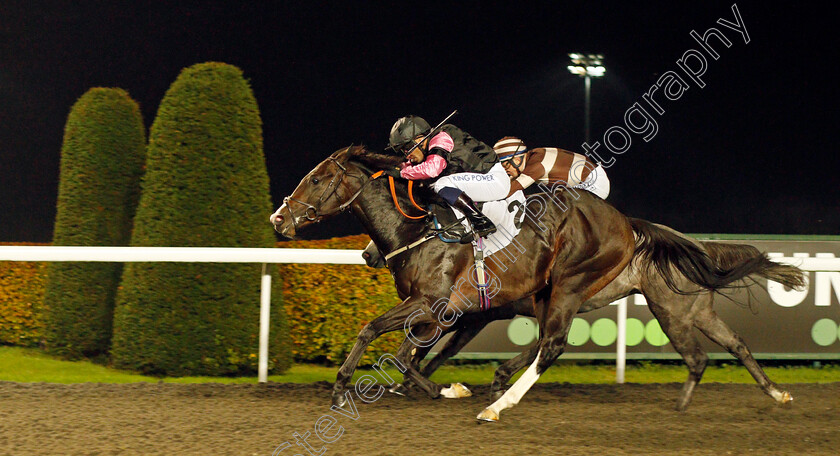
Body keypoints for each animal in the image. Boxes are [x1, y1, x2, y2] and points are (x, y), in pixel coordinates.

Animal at [274, 145, 776, 420]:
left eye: (316, 179)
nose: (279, 219)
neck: (420, 232)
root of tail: (628, 224)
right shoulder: (446, 312)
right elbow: (406, 353)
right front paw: (428, 386)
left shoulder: (438, 305)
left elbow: (379, 336)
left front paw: (346, 389)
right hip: (666, 305)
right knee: (729, 344)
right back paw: (773, 392)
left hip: (583, 285)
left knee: (553, 345)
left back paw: (497, 405)